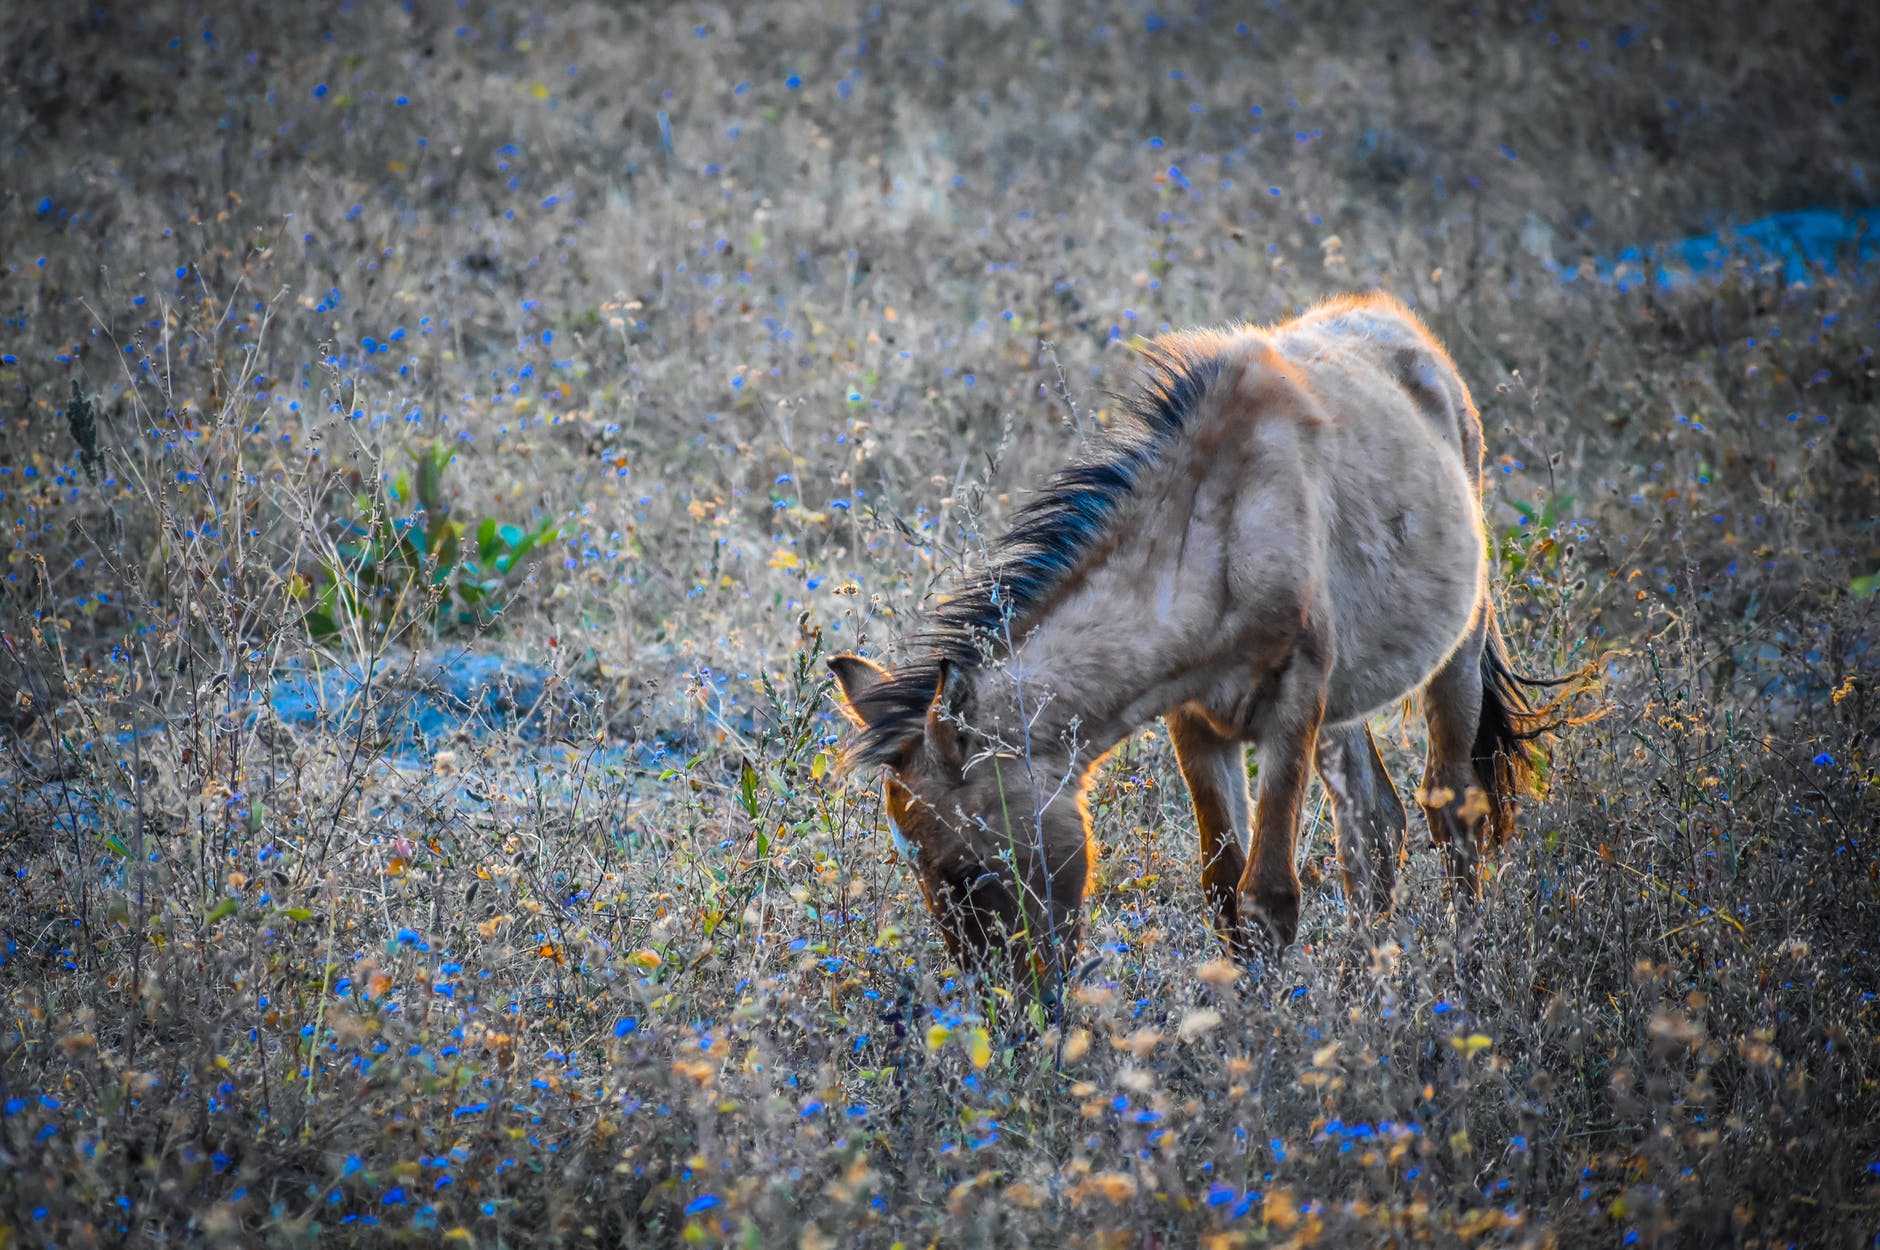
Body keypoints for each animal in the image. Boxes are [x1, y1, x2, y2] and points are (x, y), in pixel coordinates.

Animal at [830, 293, 1564, 992]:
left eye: (967, 869)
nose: (1012, 1010)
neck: (1216, 531)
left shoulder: (1292, 708)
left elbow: (1269, 895)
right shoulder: (1197, 720)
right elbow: (1224, 889)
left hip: (1457, 654)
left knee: (1454, 812)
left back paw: (1461, 973)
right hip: (1345, 706)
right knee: (1375, 830)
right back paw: (1365, 987)